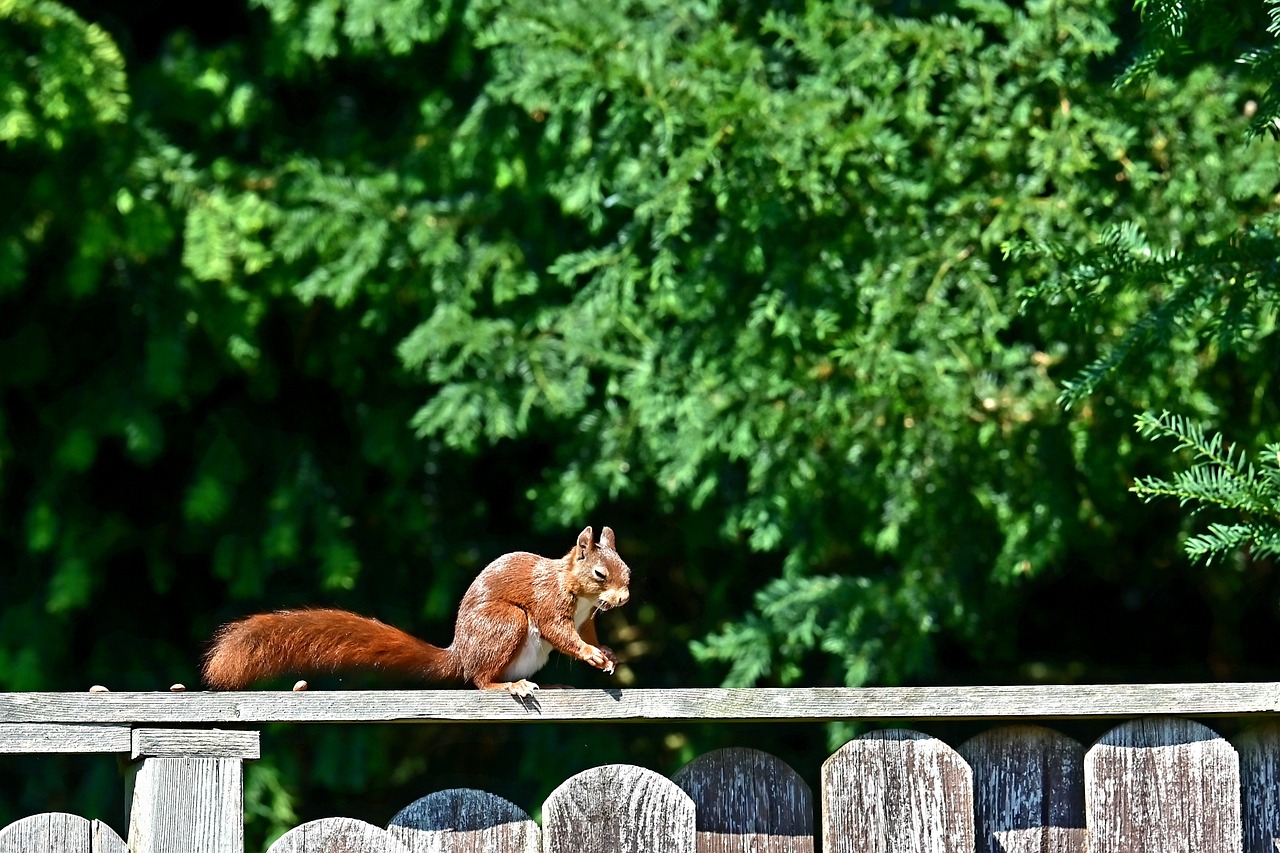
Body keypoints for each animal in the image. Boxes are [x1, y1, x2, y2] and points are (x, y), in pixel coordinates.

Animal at [198, 522, 629, 696]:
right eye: (599, 573)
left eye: (628, 571)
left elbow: (584, 633)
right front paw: (592, 654)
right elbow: (561, 633)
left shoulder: (586, 618)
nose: (623, 599)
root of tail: (461, 655)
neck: (580, 595)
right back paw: (511, 686)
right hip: (505, 623)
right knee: (481, 679)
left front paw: (606, 652)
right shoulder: (548, 602)